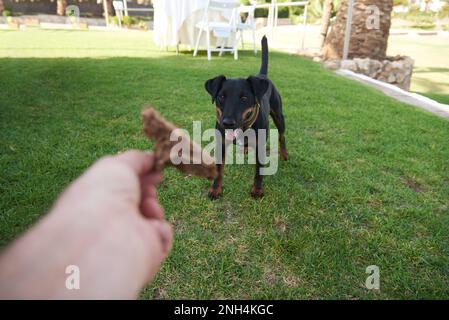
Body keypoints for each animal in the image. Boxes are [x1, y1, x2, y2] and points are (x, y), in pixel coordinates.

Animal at [204, 35, 288, 200]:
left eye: (244, 98)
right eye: (221, 97)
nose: (227, 123)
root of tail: (262, 76)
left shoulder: (261, 147)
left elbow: (259, 172)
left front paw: (257, 190)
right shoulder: (220, 144)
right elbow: (218, 170)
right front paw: (215, 190)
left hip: (278, 115)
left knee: (282, 135)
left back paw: (284, 154)